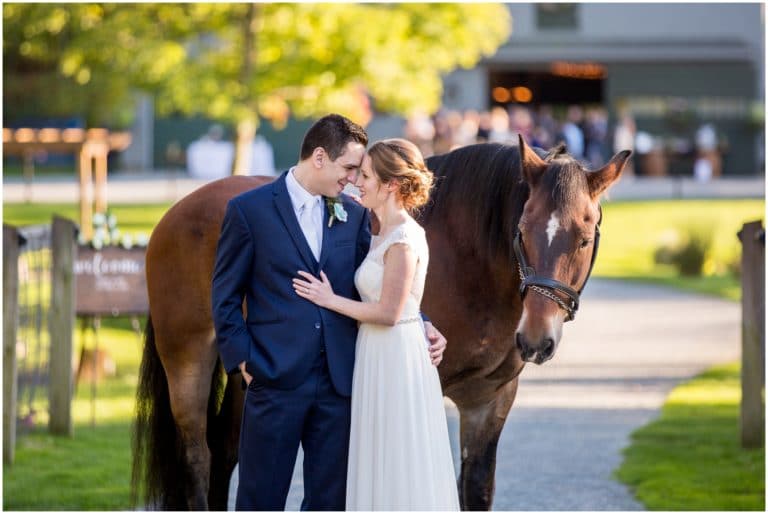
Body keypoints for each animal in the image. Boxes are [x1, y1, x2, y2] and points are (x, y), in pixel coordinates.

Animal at [132, 136, 632, 512]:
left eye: (584, 236)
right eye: (523, 231)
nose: (536, 339)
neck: (466, 258)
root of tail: (175, 214)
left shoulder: (490, 400)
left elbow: (476, 491)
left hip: (249, 378)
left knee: (227, 451)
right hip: (188, 362)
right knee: (198, 456)